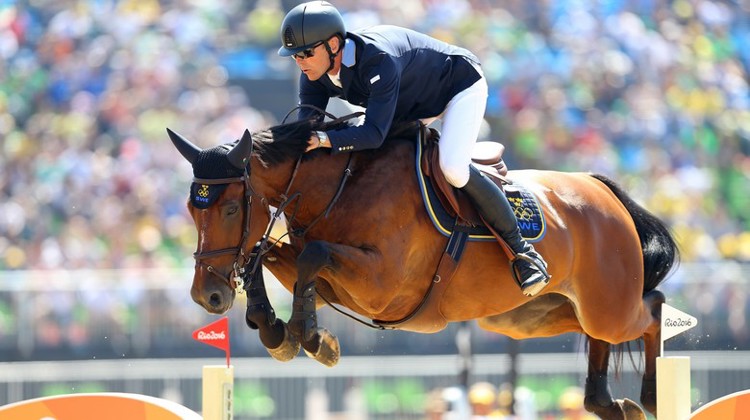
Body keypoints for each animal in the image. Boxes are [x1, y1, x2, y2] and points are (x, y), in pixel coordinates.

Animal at [169, 118, 680, 420]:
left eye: (231, 208)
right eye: (192, 210)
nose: (206, 296)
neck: (339, 186)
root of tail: (602, 189)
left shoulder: (382, 286)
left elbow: (309, 256)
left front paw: (312, 338)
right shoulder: (329, 276)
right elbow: (265, 256)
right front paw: (276, 331)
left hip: (606, 304)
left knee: (651, 309)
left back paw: (652, 398)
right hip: (526, 317)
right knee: (596, 334)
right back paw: (609, 404)